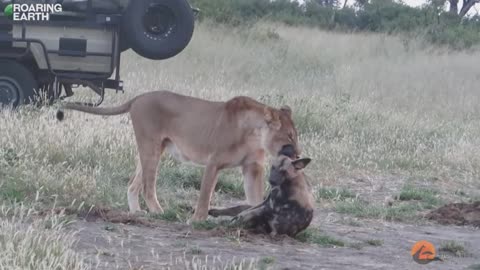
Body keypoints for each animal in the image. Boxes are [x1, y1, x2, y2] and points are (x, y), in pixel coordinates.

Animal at [56, 90, 300, 221]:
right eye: (289, 136)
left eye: (296, 135)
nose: (299, 154)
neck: (255, 135)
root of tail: (138, 97)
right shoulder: (213, 162)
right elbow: (205, 196)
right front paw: (197, 220)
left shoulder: (252, 167)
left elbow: (255, 199)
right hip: (151, 146)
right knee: (148, 186)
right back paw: (159, 213)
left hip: (154, 148)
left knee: (134, 184)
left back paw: (137, 213)